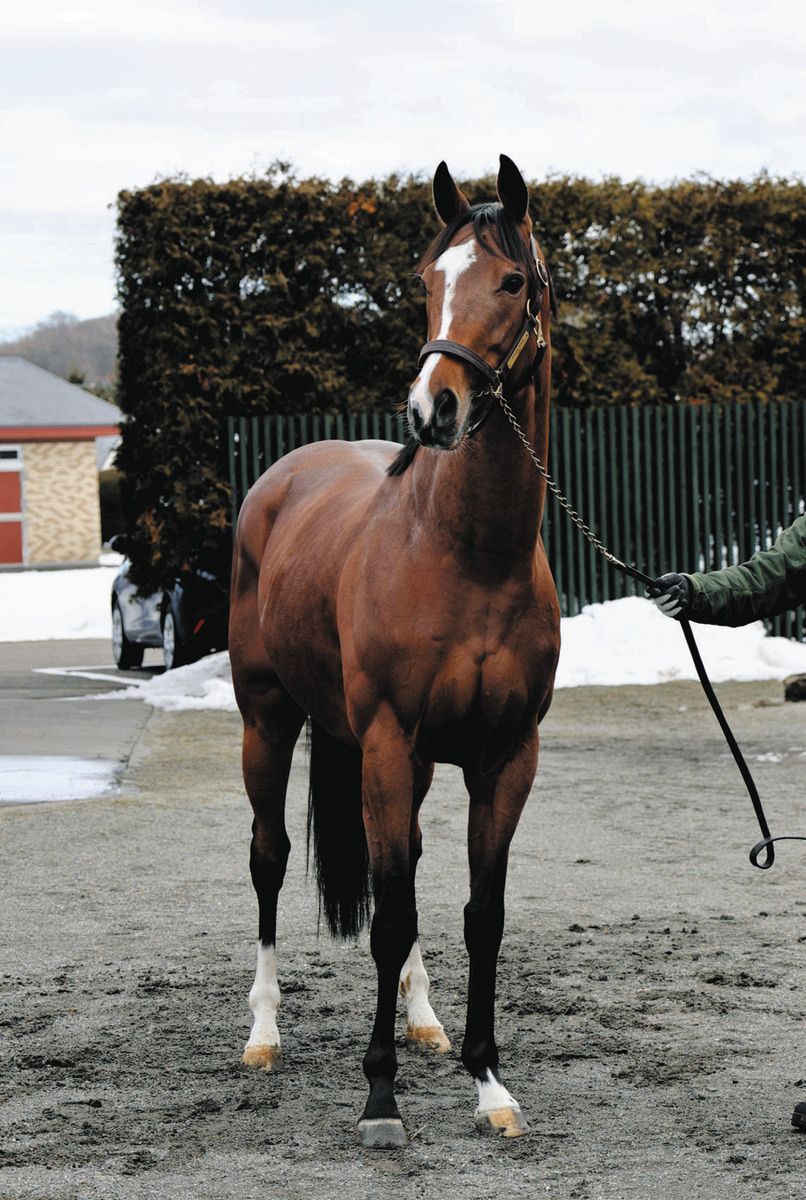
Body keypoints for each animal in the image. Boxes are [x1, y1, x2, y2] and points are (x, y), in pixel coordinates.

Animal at [229, 154, 561, 1147]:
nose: (433, 408)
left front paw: (487, 1083)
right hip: (267, 724)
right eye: (425, 282)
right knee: (268, 858)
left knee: (404, 864)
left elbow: (478, 913)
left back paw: (423, 1019)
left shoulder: (506, 757)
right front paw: (380, 1098)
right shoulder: (382, 740)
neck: (469, 556)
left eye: (514, 281)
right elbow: (384, 914)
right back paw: (264, 1033)